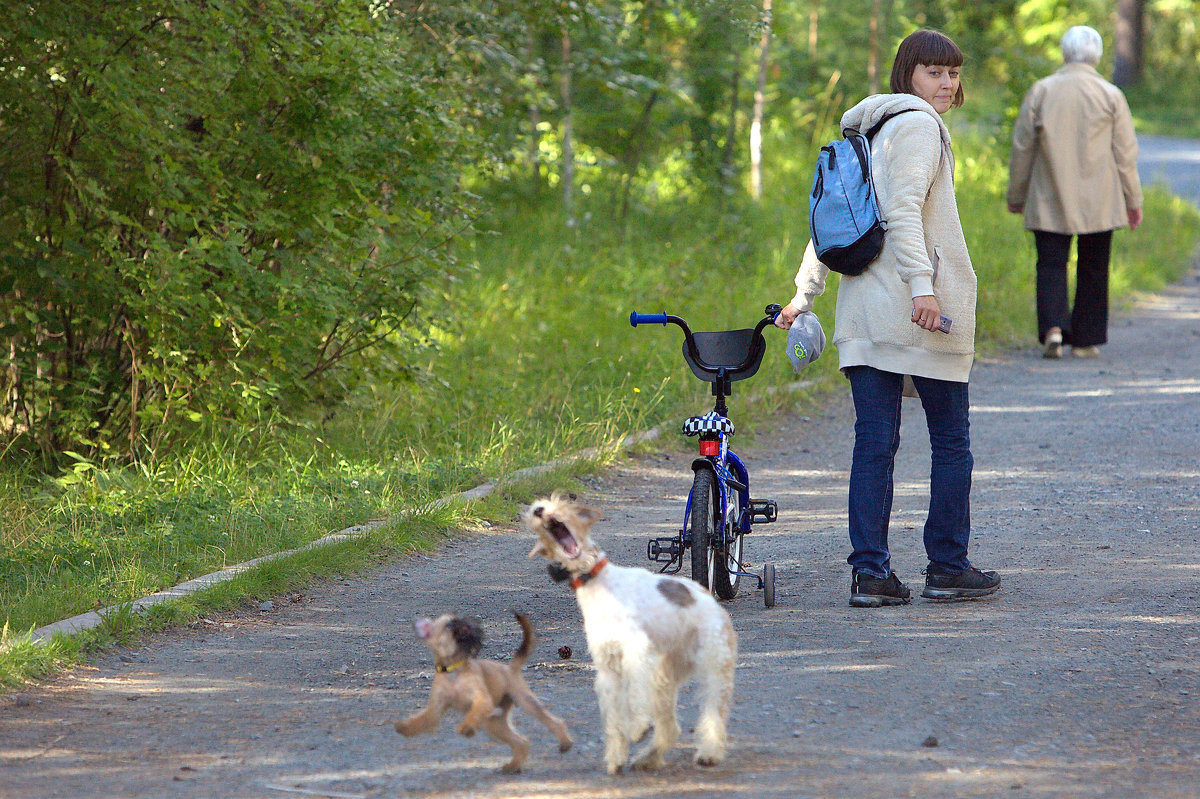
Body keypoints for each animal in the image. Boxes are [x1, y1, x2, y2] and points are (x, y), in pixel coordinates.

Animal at [393, 609, 571, 772]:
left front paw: (467, 727)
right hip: (494, 725)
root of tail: (509, 668)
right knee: (521, 741)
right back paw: (513, 766)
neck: (453, 670)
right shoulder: (435, 709)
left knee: (554, 721)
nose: (467, 624)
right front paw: (405, 727)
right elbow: (421, 719)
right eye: (448, 626)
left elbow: (474, 713)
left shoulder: (481, 700)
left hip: (525, 702)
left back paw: (565, 743)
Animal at [528, 491, 739, 772]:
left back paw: (709, 753)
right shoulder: (608, 669)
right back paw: (648, 758)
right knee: (671, 726)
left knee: (713, 713)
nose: (539, 510)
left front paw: (638, 727)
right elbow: (614, 719)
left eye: (563, 504)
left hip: (712, 666)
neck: (598, 582)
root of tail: (708, 597)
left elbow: (637, 696)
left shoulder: (637, 651)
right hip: (666, 675)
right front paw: (616, 756)